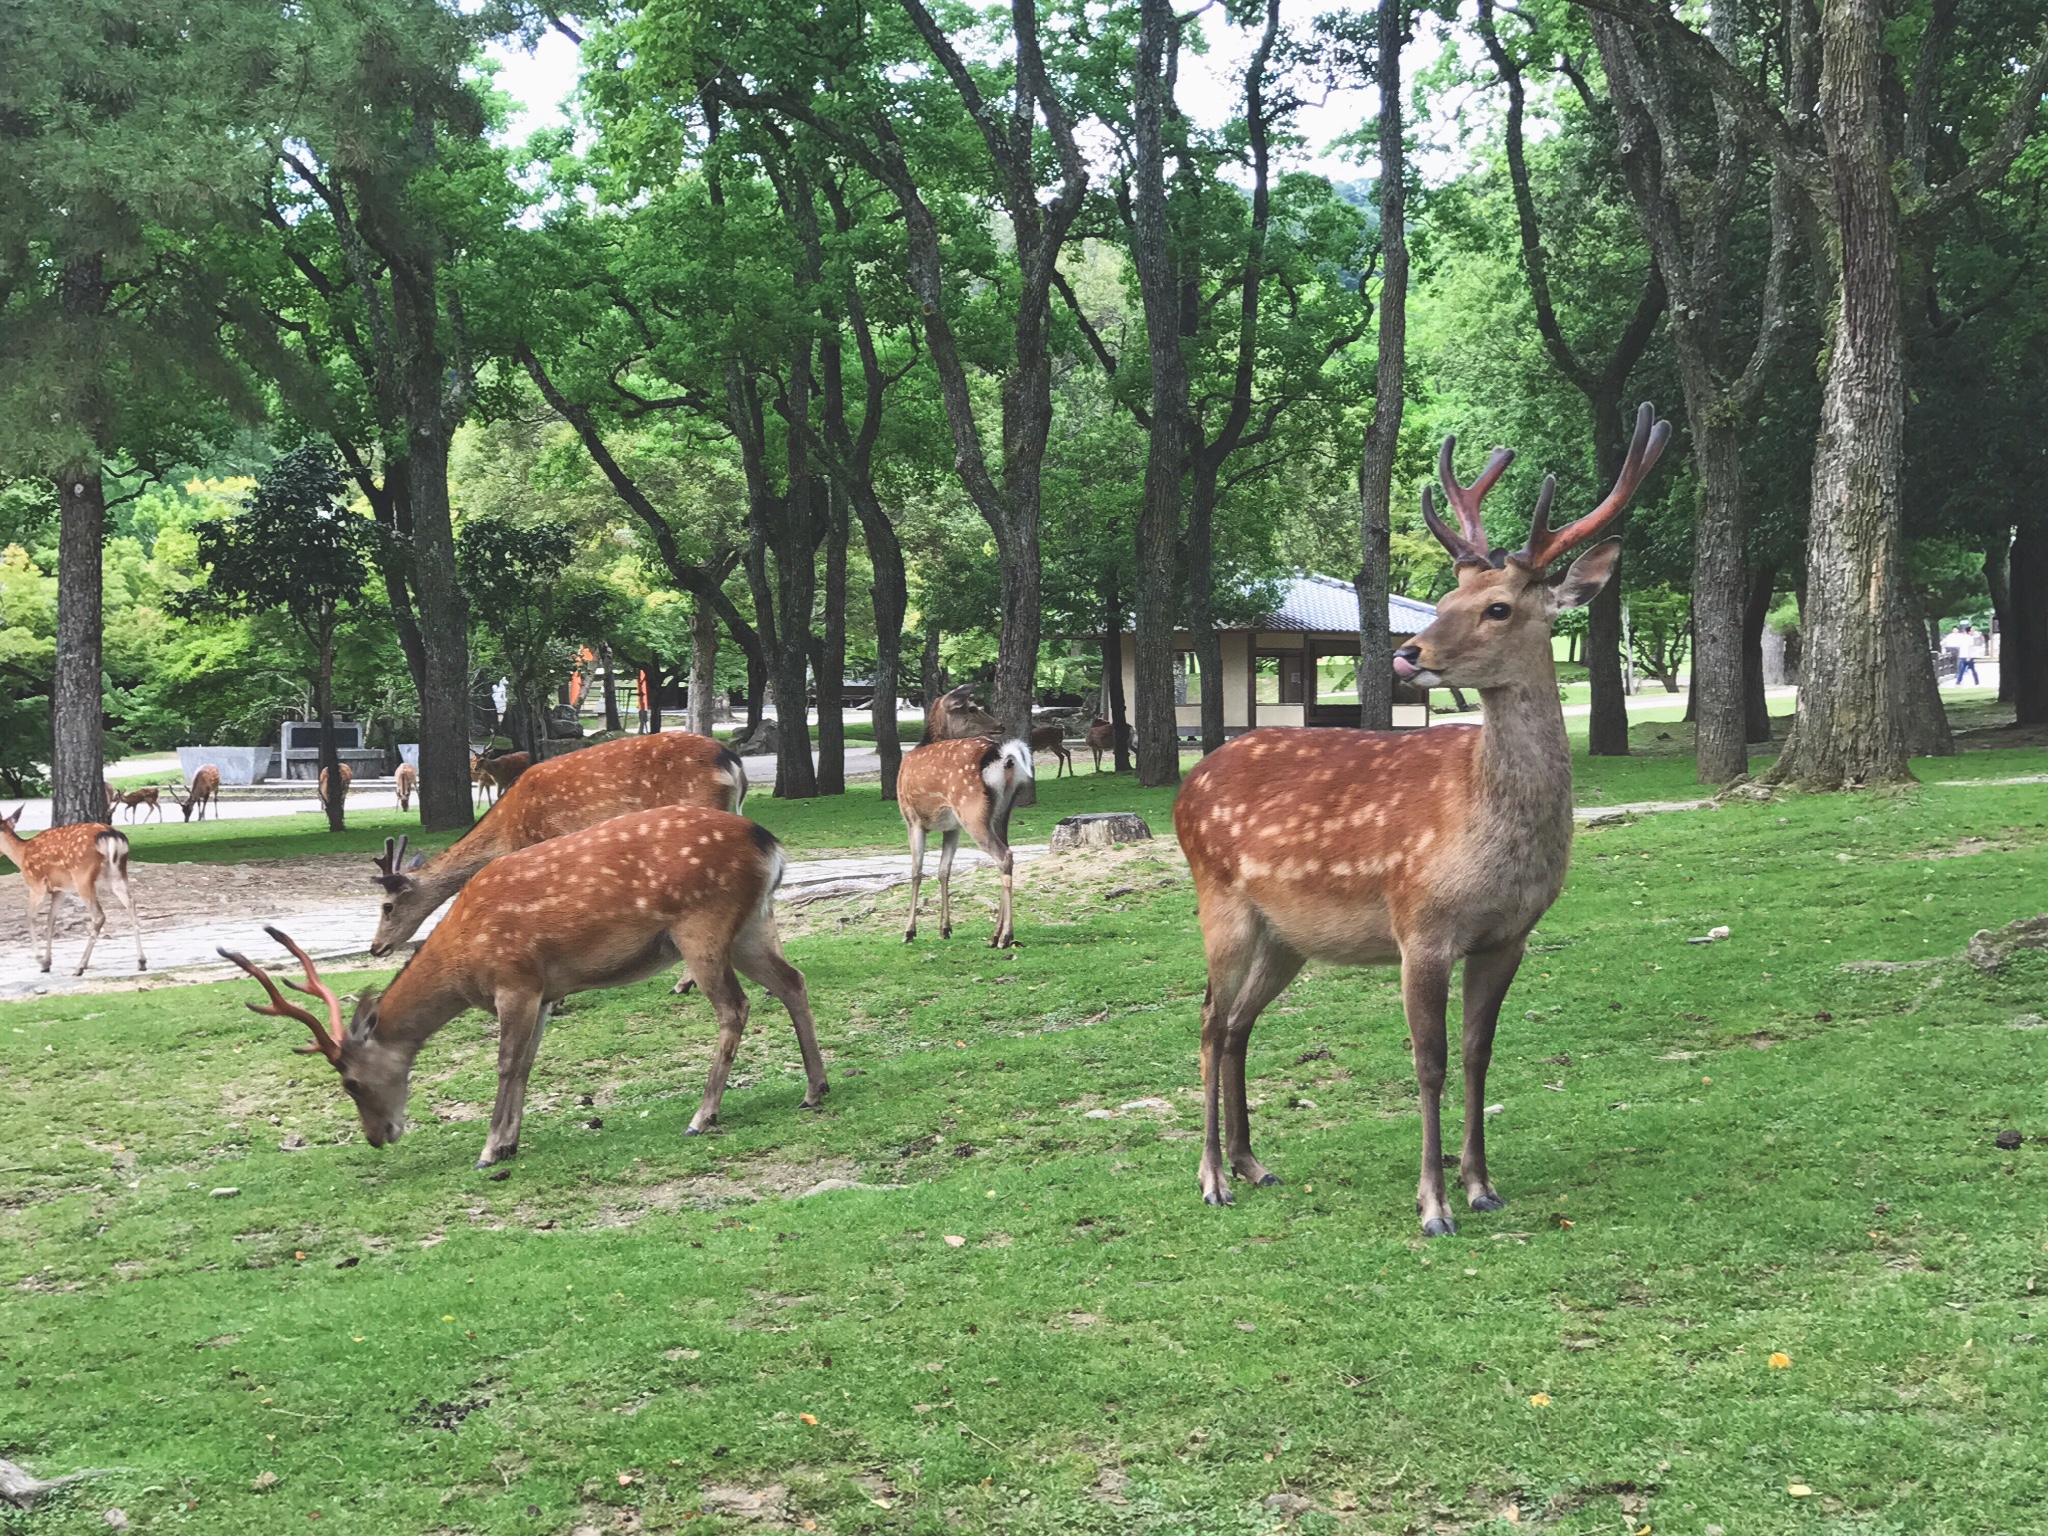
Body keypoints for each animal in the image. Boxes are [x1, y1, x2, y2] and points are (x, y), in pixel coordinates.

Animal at [0, 811, 146, 978]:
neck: (21, 854)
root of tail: (111, 834)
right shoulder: (60, 890)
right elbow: (51, 919)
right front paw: (47, 962)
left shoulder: (37, 885)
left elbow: (30, 916)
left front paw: (40, 960)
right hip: (118, 874)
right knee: (131, 904)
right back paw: (141, 962)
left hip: (82, 876)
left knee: (99, 915)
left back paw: (79, 966)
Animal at [226, 806, 823, 1163]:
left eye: (349, 1082)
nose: (378, 1137)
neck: (462, 960)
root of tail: (770, 844)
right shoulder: (542, 991)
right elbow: (529, 1062)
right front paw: (511, 1141)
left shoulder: (513, 982)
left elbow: (507, 1062)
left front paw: (490, 1148)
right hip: (750, 927)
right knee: (792, 981)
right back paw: (815, 1090)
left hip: (703, 925)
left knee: (735, 1007)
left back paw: (703, 1116)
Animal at [897, 737, 1032, 950]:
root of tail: (1004, 758)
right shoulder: (952, 828)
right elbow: (944, 871)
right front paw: (945, 929)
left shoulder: (913, 821)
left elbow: (916, 873)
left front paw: (909, 932)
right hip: (1002, 813)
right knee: (1008, 854)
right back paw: (995, 936)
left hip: (971, 809)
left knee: (1004, 855)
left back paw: (1005, 937)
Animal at [1179, 403, 1671, 1236]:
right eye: (1442, 601)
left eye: (1497, 607)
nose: (1410, 652)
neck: (1489, 834)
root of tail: (1186, 789)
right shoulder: (1421, 925)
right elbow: (1429, 1060)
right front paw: (1433, 1204)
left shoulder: (1508, 936)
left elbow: (1478, 1054)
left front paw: (1481, 1185)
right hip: (1222, 902)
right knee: (1211, 1021)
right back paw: (1211, 1177)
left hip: (1287, 937)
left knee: (1240, 1022)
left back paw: (1252, 1163)